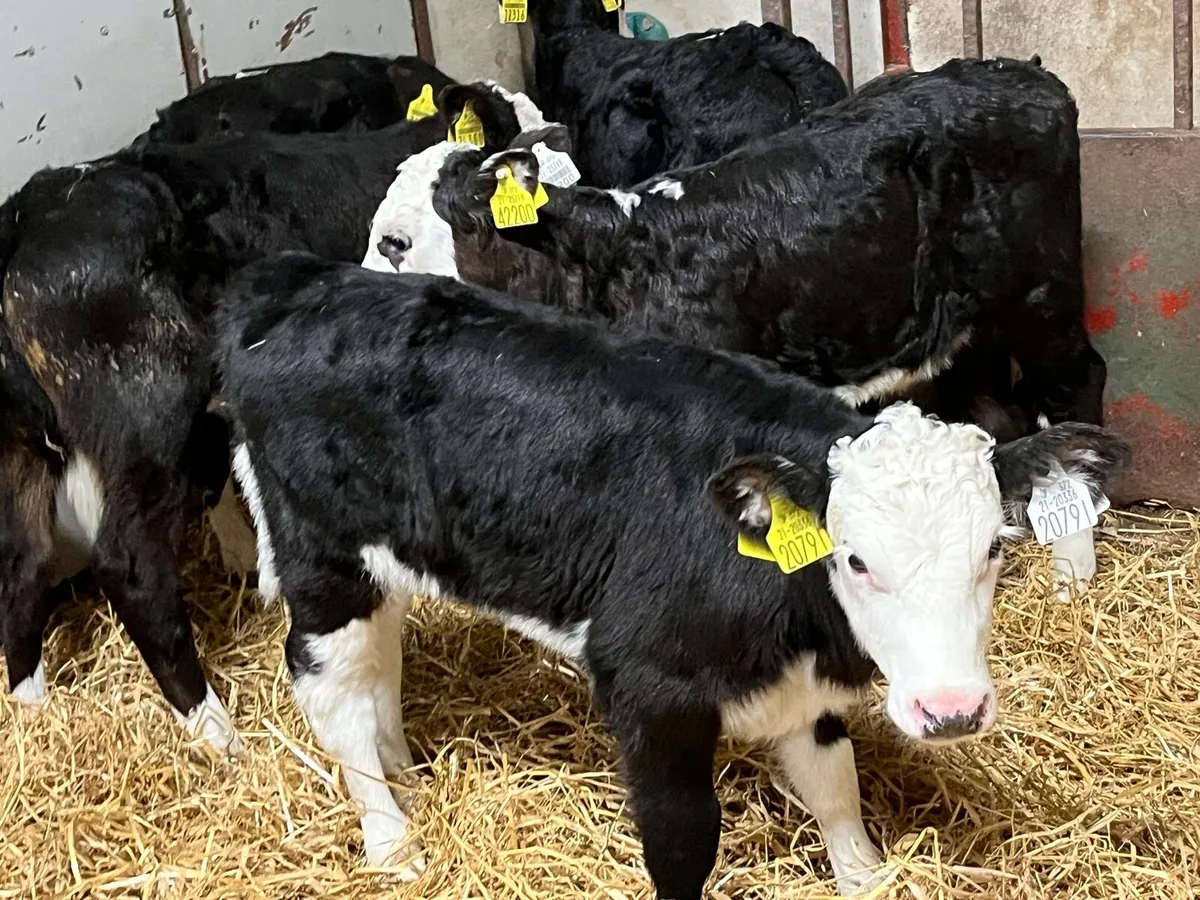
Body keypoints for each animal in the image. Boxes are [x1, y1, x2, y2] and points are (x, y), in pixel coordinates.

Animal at [0, 83, 530, 748]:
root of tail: (28, 214)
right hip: (145, 414)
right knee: (129, 563)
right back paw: (212, 726)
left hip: (26, 443)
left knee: (23, 560)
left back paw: (32, 706)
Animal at [216, 252, 1129, 897]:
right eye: (856, 558)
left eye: (994, 548)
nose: (952, 712)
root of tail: (301, 284)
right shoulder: (646, 684)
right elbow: (683, 842)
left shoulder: (809, 692)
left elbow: (836, 793)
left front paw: (866, 875)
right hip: (322, 558)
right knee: (333, 692)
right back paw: (393, 839)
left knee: (381, 664)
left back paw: (406, 772)